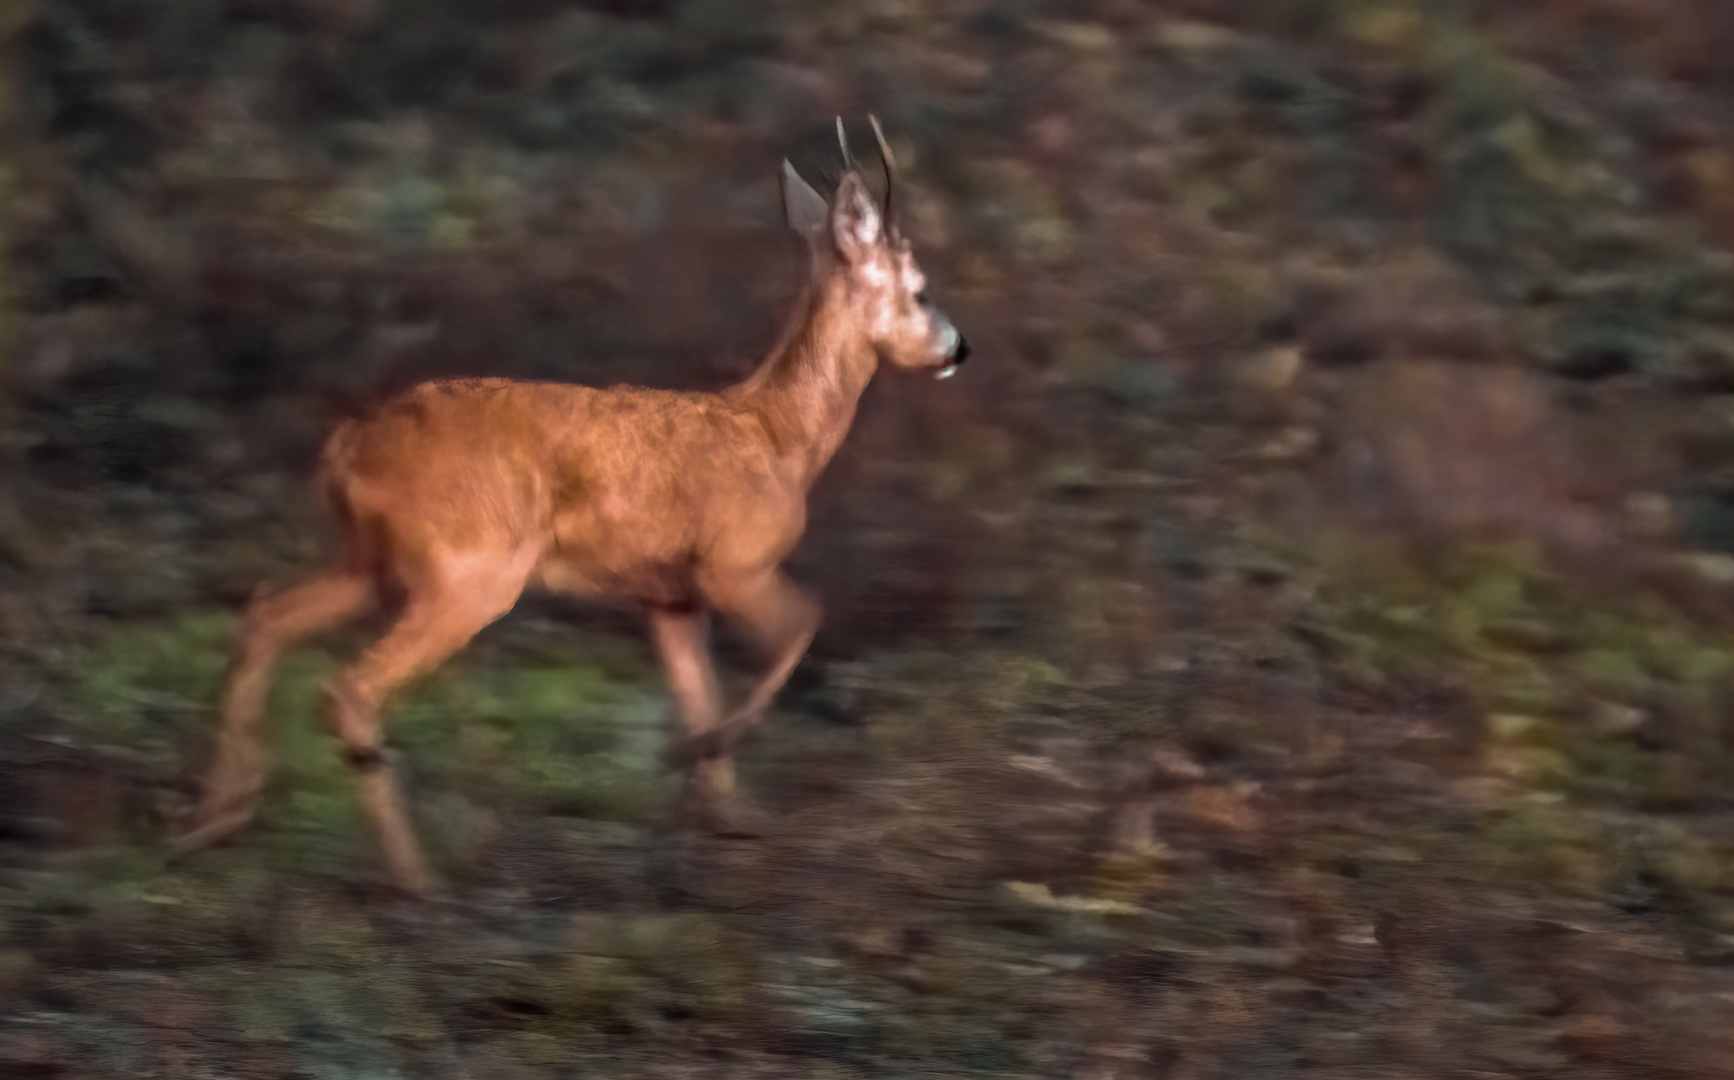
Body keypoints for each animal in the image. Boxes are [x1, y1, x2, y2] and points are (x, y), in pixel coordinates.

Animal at [177, 120, 971, 894]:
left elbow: (698, 690)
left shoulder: (668, 597)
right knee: (347, 686)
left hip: (368, 560)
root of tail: (345, 449)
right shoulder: (732, 563)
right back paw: (412, 878)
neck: (780, 438)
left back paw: (217, 823)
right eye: (922, 290)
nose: (959, 349)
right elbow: (802, 625)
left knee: (265, 613)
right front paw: (704, 766)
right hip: (470, 569)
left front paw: (726, 816)